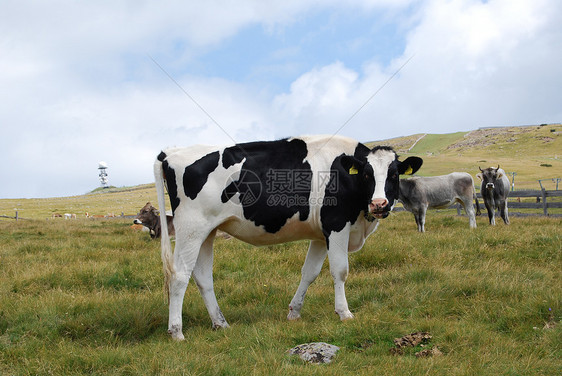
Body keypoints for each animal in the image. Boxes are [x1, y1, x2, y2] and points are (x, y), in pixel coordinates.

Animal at [153, 135, 420, 340]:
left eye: (394, 175)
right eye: (366, 175)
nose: (379, 204)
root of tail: (171, 152)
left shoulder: (321, 235)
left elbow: (309, 272)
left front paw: (294, 312)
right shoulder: (336, 226)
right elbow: (340, 271)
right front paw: (344, 313)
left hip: (207, 232)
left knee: (203, 277)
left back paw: (221, 323)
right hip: (190, 228)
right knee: (179, 276)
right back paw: (176, 332)